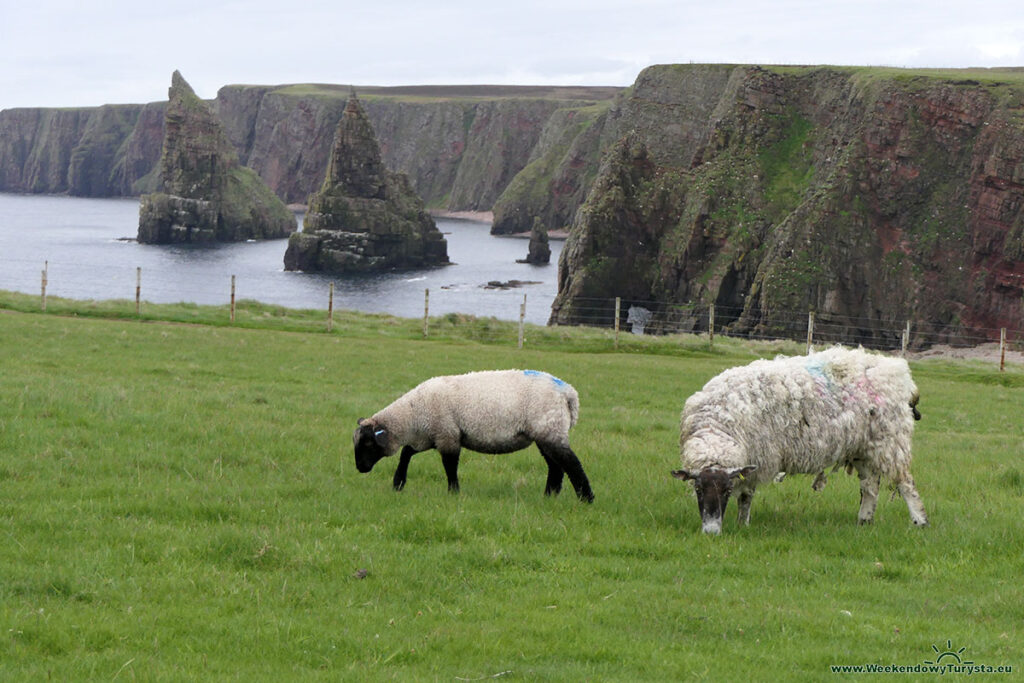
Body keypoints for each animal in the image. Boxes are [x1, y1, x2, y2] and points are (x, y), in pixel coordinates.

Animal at [352, 368, 593, 501]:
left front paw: (453, 492)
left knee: (571, 463)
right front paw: (398, 483)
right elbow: (407, 453)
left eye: (368, 443)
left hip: (549, 428)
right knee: (556, 467)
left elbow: (450, 466)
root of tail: (569, 393)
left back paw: (586, 498)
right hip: (546, 432)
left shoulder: (447, 434)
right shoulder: (432, 435)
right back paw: (549, 496)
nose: (360, 468)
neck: (413, 414)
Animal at [671, 348, 929, 532]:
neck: (717, 427)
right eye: (698, 489)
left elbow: (746, 496)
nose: (711, 531)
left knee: (905, 482)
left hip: (891, 439)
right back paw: (864, 520)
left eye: (726, 490)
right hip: (863, 446)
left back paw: (920, 521)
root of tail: (895, 371)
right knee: (870, 486)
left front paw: (742, 524)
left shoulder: (760, 458)